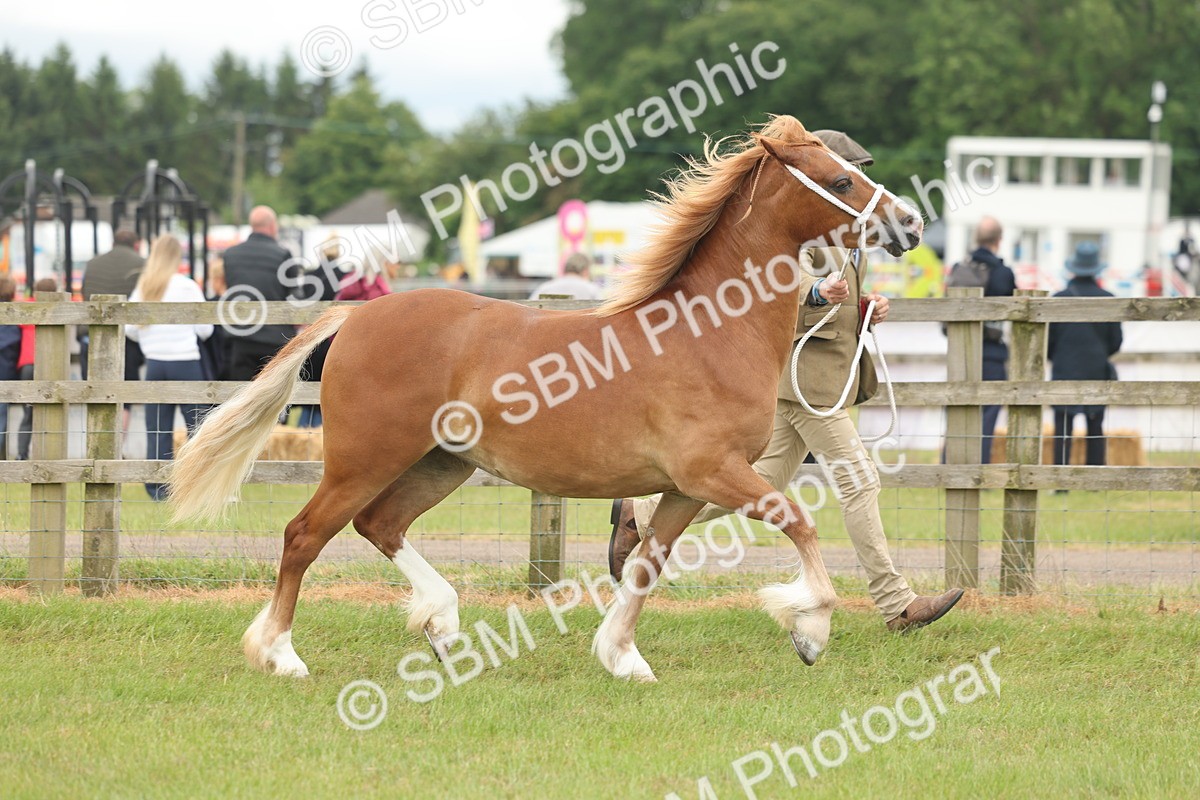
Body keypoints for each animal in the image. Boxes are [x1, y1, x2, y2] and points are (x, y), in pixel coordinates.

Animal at [169, 115, 922, 681]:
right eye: (841, 179)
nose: (911, 224)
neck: (707, 333)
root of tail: (357, 317)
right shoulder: (714, 473)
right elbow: (801, 524)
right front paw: (811, 629)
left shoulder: (686, 487)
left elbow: (646, 562)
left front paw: (621, 657)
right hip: (364, 460)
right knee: (305, 535)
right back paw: (282, 654)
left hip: (443, 463)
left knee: (378, 526)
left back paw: (442, 624)